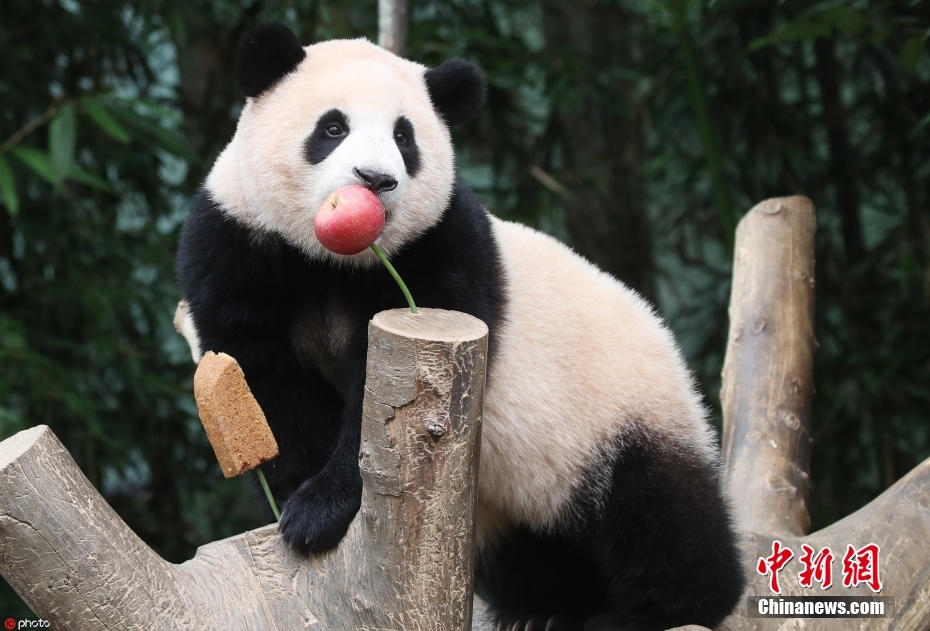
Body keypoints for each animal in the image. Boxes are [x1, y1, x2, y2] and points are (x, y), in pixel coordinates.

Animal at [177, 23, 745, 631]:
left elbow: (382, 407)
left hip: (619, 410)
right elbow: (264, 380)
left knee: (656, 510)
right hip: (505, 502)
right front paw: (299, 505)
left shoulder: (441, 251)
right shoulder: (240, 241)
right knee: (531, 553)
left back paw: (660, 607)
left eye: (405, 137)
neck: (337, 261)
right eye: (332, 128)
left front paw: (319, 510)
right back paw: (542, 608)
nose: (376, 180)